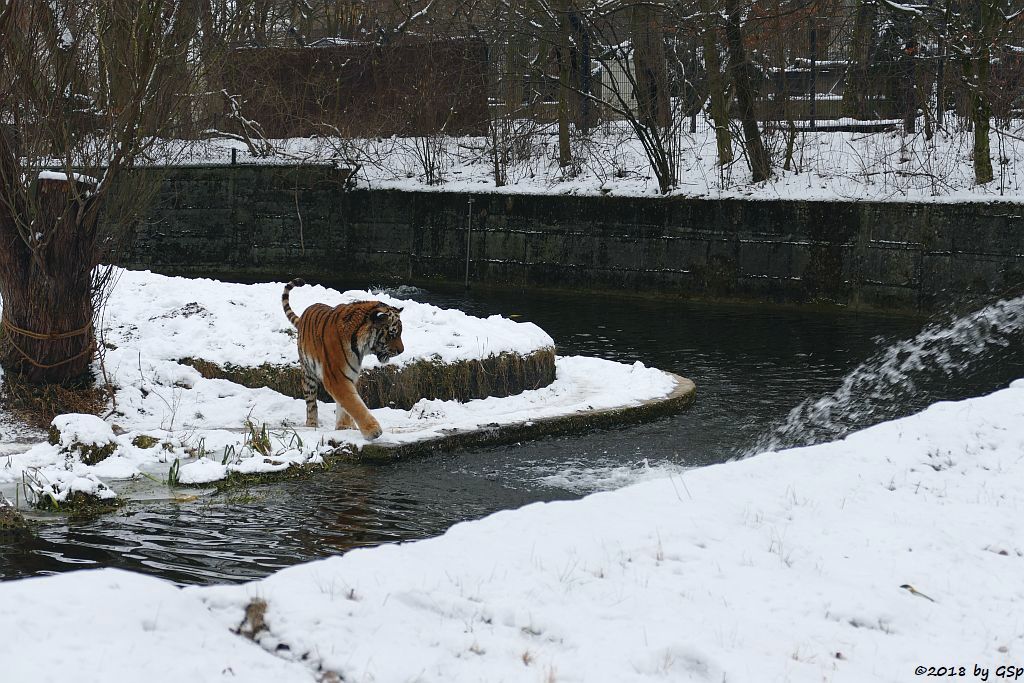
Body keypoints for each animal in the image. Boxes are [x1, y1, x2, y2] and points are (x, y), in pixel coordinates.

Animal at [284, 280, 407, 440]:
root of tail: (304, 314)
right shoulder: (336, 378)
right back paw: (311, 424)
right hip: (308, 374)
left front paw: (345, 427)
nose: (401, 350)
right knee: (311, 404)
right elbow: (354, 404)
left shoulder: (350, 375)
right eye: (393, 333)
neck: (359, 347)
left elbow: (347, 404)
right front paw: (373, 430)